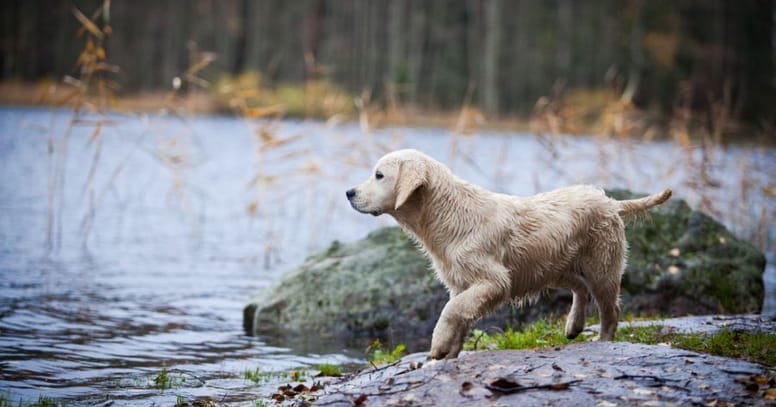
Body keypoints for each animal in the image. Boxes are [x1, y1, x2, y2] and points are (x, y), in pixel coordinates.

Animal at [348, 150, 672, 360]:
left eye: (379, 175)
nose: (349, 193)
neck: (450, 215)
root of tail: (612, 203)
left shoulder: (492, 281)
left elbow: (451, 310)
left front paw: (438, 345)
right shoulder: (462, 283)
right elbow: (460, 314)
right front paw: (450, 353)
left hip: (602, 266)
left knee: (609, 308)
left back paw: (604, 341)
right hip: (554, 266)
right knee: (580, 289)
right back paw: (573, 325)